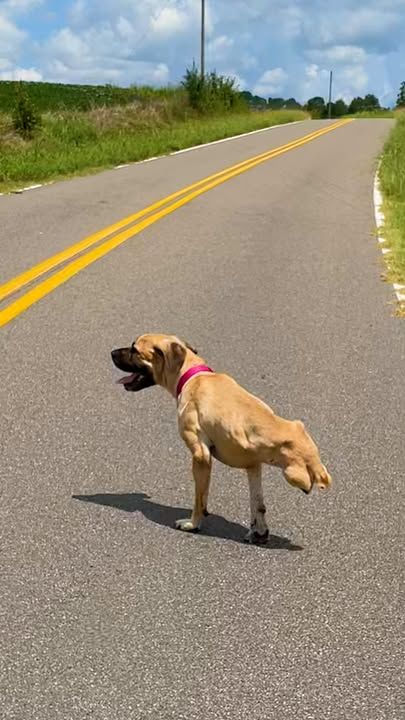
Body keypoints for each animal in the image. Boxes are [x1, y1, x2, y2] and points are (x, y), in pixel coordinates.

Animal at [109, 334, 328, 544]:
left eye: (134, 349)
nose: (111, 352)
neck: (193, 375)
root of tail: (314, 459)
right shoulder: (253, 465)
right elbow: (257, 504)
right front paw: (258, 531)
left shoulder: (200, 456)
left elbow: (199, 498)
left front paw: (193, 524)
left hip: (294, 475)